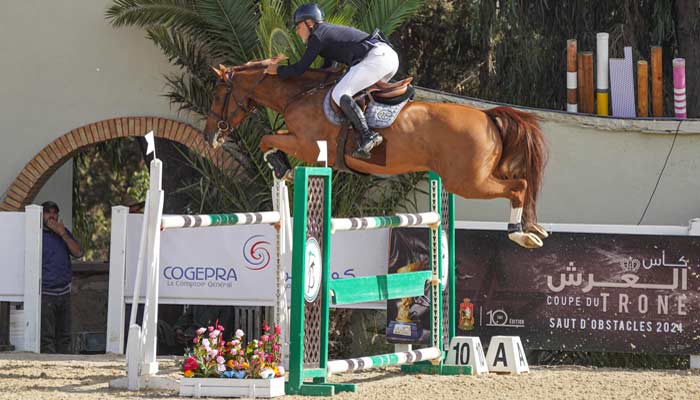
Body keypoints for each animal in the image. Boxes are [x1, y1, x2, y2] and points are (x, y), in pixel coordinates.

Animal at [205, 59, 548, 248]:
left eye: (219, 95)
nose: (211, 136)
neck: (299, 93)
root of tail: (487, 116)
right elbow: (270, 139)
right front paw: (281, 165)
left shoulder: (308, 146)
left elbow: (265, 139)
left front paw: (280, 166)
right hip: (480, 174)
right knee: (521, 182)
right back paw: (533, 228)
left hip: (467, 182)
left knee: (518, 187)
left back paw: (521, 235)